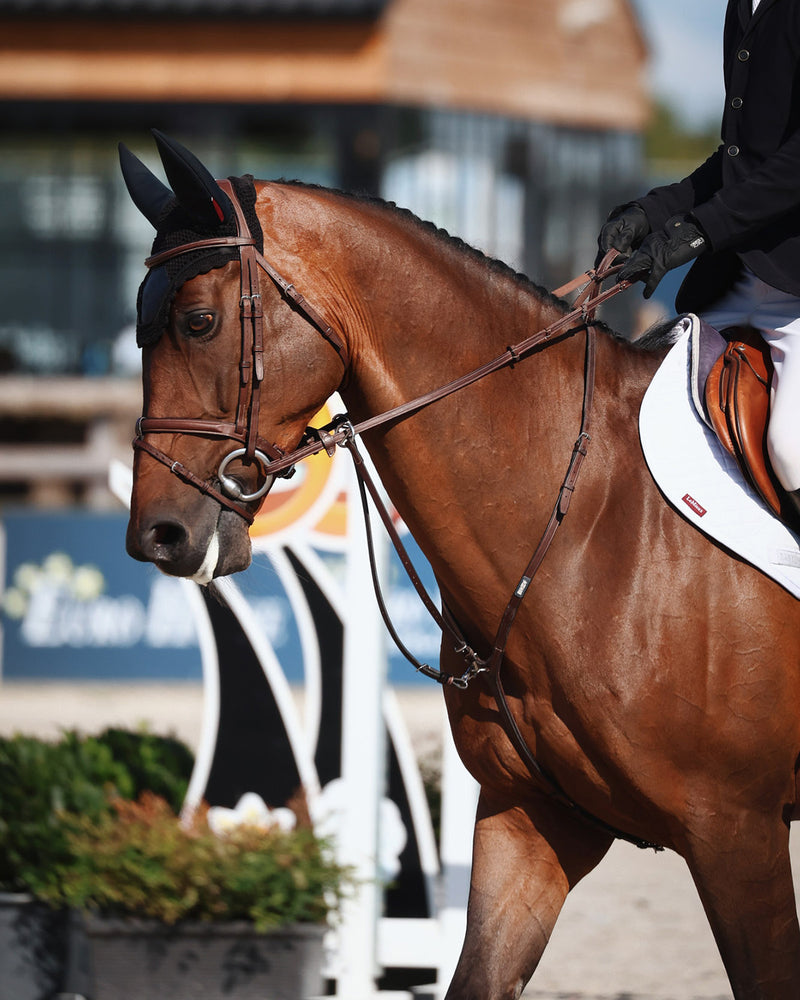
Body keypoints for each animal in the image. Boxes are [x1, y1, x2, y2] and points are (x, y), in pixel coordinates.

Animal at [119, 131, 800, 1000]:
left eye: (199, 321)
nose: (157, 537)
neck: (588, 524)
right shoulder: (534, 818)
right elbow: (477, 974)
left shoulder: (737, 836)